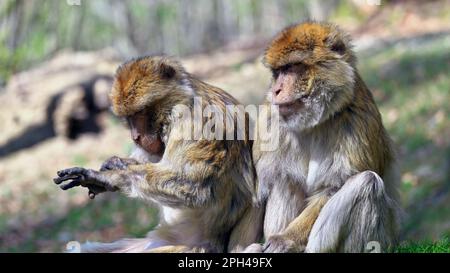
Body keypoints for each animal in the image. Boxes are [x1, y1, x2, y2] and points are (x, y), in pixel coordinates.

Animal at [54, 55, 262, 253]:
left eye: (140, 113)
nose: (136, 137)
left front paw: (107, 178)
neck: (184, 102)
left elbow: (196, 188)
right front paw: (116, 164)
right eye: (128, 118)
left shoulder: (197, 123)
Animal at [250, 21, 400, 253]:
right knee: (285, 179)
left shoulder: (356, 120)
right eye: (277, 72)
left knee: (367, 183)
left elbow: (331, 188)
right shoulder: (269, 121)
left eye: (290, 68)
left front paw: (286, 239)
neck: (313, 122)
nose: (275, 90)